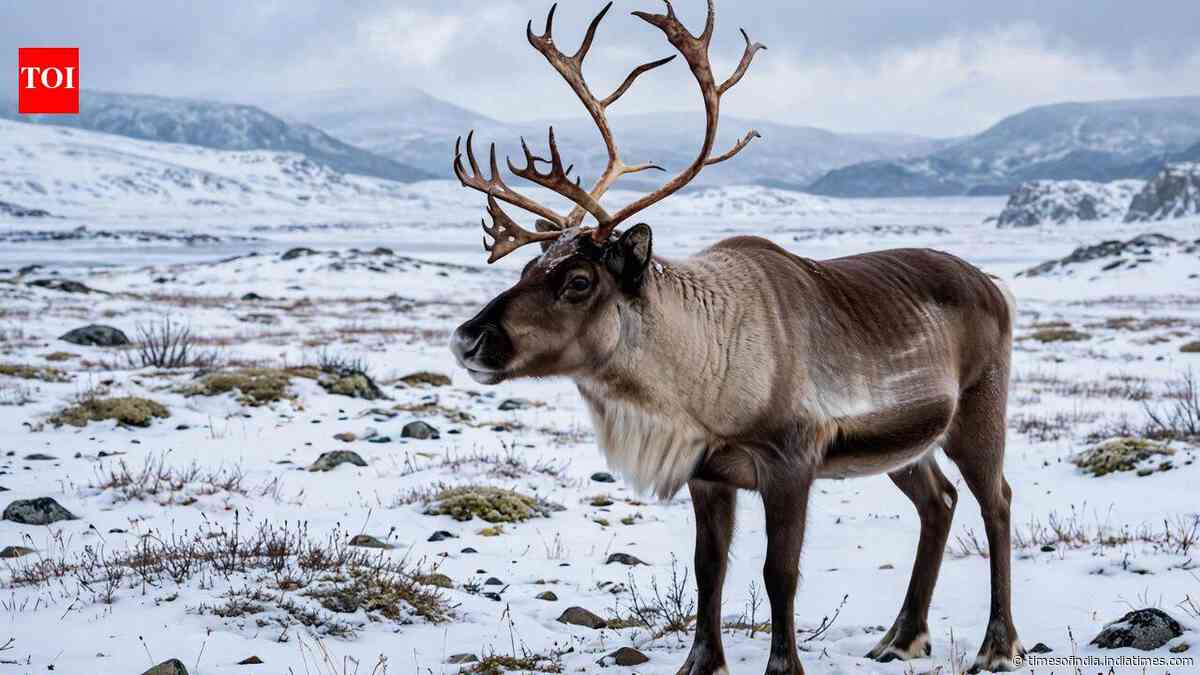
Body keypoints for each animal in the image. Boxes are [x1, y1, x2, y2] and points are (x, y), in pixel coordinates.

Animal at [448, 2, 1023, 672]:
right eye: (526, 269)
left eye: (579, 280)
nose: (468, 338)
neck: (694, 381)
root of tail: (993, 284)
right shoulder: (708, 474)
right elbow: (709, 568)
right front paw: (701, 662)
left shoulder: (792, 462)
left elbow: (780, 573)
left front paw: (784, 665)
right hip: (906, 442)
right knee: (939, 501)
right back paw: (901, 636)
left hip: (979, 410)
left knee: (996, 501)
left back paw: (998, 644)